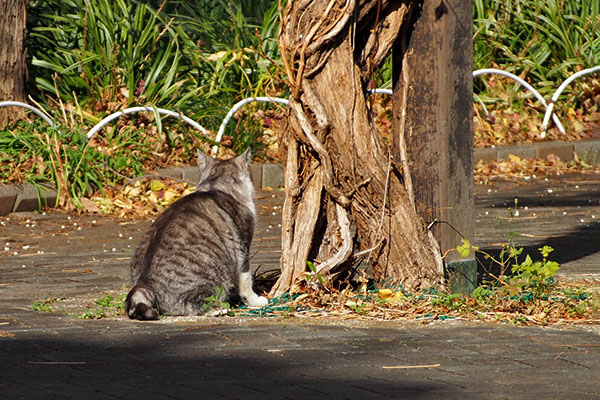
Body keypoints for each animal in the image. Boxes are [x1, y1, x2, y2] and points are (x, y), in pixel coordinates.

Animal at [125, 148, 268, 320]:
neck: (217, 187)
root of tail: (145, 284)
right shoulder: (243, 247)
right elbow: (246, 280)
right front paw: (255, 300)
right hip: (211, 275)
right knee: (195, 306)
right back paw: (218, 310)